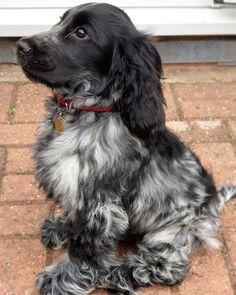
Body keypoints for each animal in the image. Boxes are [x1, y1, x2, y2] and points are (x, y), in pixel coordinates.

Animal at [17, 2, 236, 295]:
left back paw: (122, 273)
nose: (20, 45)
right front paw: (62, 229)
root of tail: (213, 204)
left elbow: (84, 250)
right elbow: (73, 221)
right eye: (60, 21)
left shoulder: (99, 205)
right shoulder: (76, 192)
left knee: (171, 265)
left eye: (81, 33)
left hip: (174, 230)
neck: (87, 112)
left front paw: (63, 279)